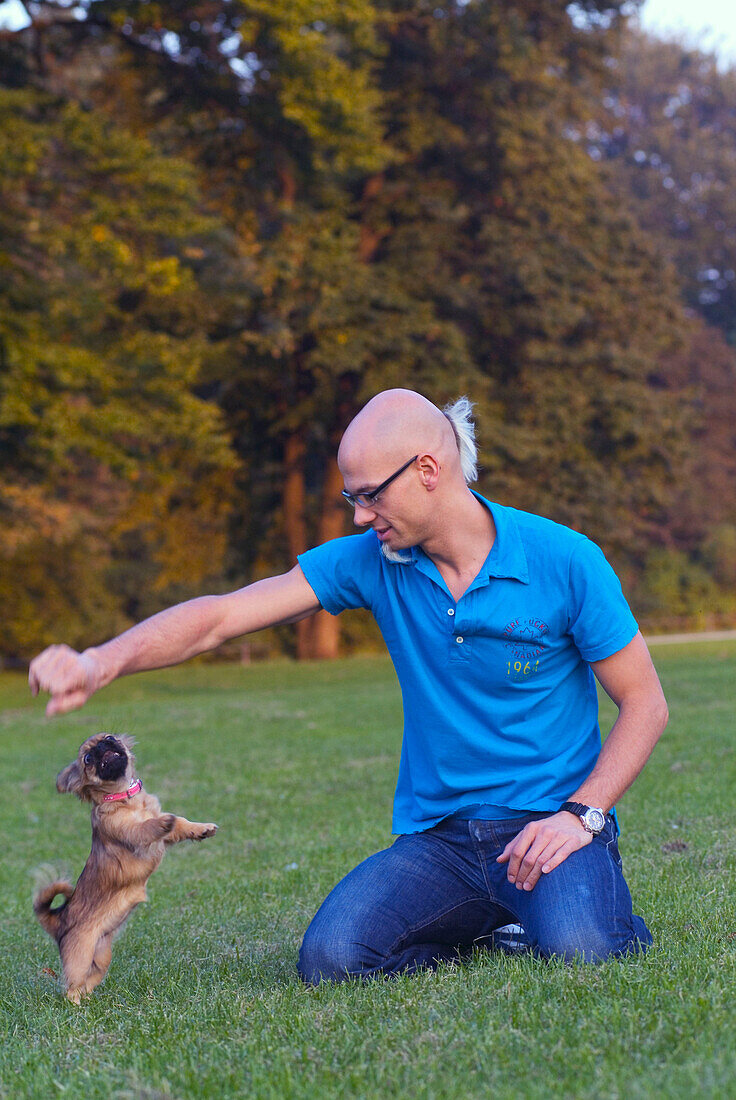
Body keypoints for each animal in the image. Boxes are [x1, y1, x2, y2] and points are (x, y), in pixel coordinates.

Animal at [33, 734, 215, 1003]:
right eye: (88, 759)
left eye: (110, 738)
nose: (102, 746)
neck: (125, 798)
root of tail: (58, 920)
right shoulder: (132, 832)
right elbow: (148, 825)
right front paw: (163, 821)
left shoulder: (166, 838)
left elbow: (181, 824)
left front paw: (201, 828)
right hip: (80, 956)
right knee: (71, 986)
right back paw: (76, 1006)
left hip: (101, 956)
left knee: (88, 981)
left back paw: (89, 1001)